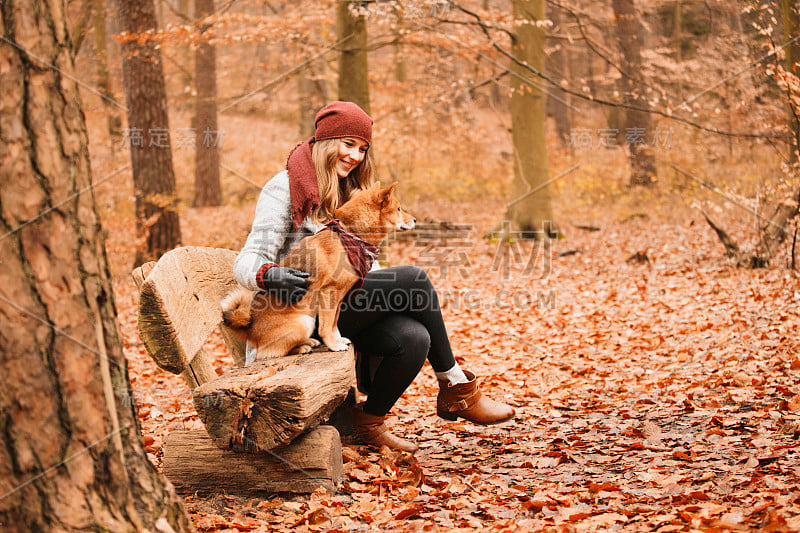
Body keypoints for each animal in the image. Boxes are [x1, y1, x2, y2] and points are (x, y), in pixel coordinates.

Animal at [222, 181, 416, 360]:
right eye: (399, 209)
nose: (414, 220)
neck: (351, 234)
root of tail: (251, 332)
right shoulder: (329, 293)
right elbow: (326, 327)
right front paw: (333, 346)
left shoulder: (338, 297)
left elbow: (334, 324)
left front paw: (338, 340)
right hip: (304, 322)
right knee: (273, 352)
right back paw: (302, 347)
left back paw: (309, 342)